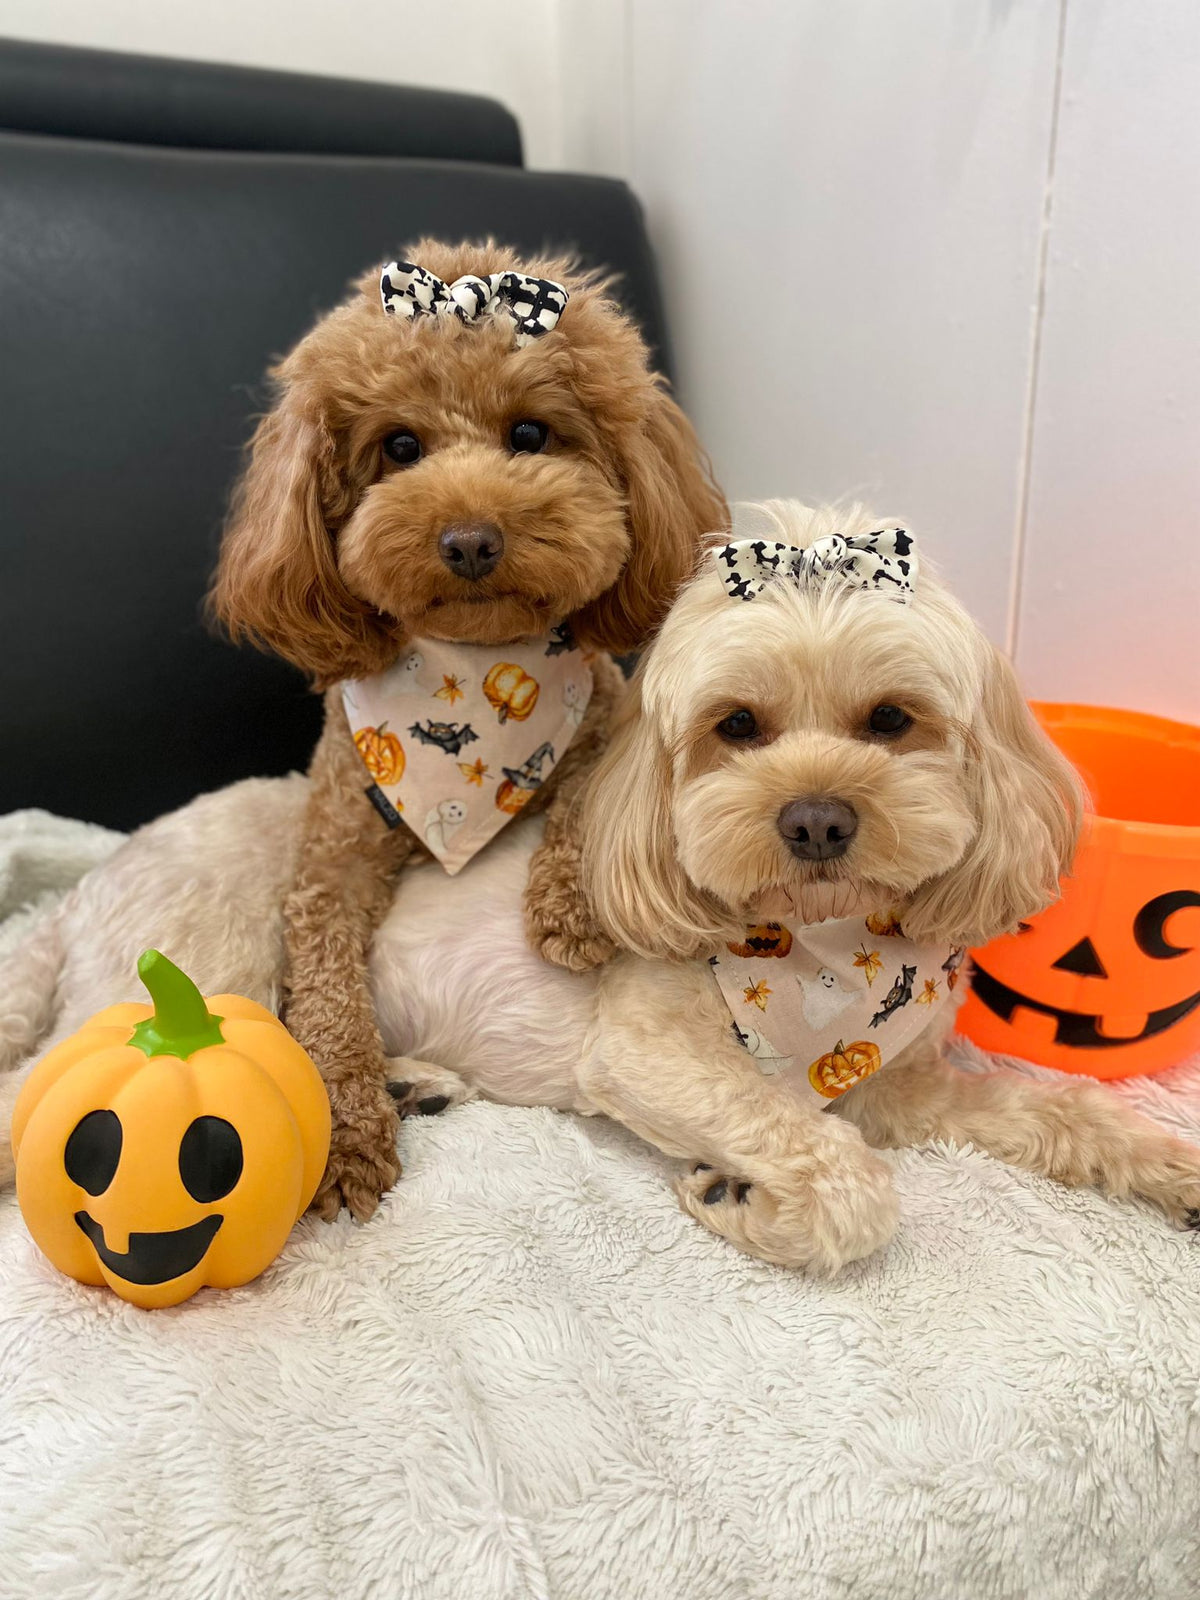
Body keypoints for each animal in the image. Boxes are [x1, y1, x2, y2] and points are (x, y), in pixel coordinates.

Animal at [4, 505, 1196, 1267]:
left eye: (893, 719)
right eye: (736, 726)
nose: (816, 819)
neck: (824, 955)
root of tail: (78, 894)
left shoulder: (899, 1086)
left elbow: (1057, 1108)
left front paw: (1172, 1166)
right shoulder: (652, 1052)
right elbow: (853, 1187)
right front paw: (740, 1200)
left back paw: (409, 1084)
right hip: (217, 964)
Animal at [209, 236, 723, 1216]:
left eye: (529, 435)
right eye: (400, 447)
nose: (472, 539)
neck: (473, 682)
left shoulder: (605, 714)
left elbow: (591, 785)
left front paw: (568, 911)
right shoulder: (335, 857)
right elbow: (326, 995)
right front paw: (343, 1138)